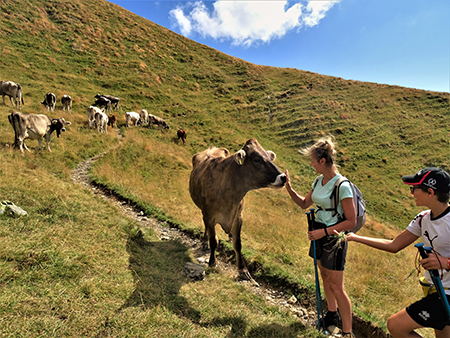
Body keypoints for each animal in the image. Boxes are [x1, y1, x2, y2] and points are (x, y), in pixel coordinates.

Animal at [189, 138, 286, 280]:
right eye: (256, 159)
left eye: (270, 158)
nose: (283, 177)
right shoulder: (209, 215)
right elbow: (213, 241)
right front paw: (213, 261)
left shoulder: (238, 217)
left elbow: (238, 244)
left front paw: (243, 269)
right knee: (207, 229)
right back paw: (205, 242)